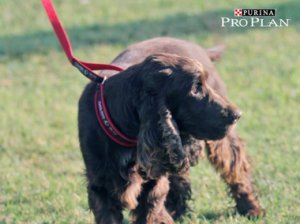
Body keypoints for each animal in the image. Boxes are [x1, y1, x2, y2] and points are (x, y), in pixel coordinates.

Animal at [78, 37, 264, 223]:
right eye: (195, 89)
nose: (237, 114)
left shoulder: (152, 185)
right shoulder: (101, 188)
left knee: (235, 166)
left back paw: (251, 208)